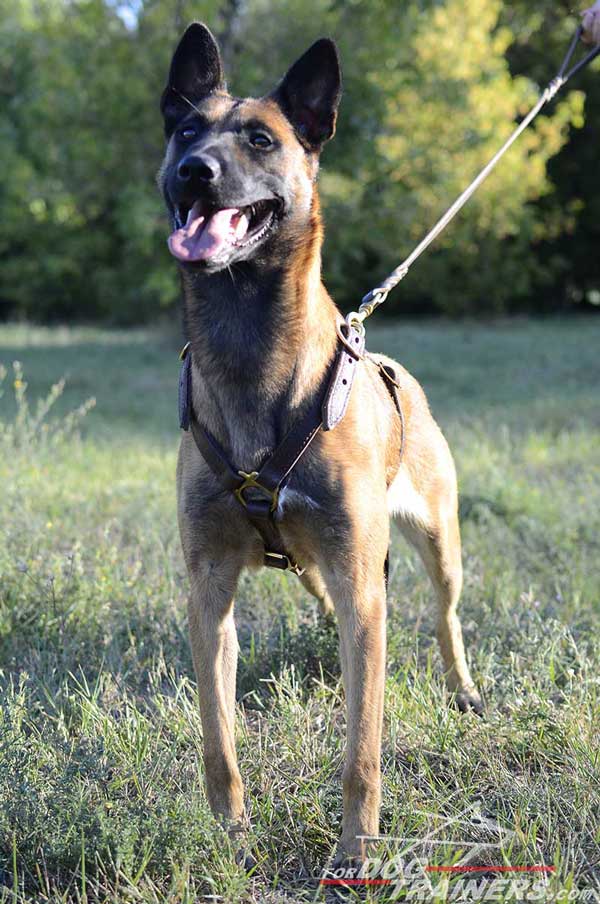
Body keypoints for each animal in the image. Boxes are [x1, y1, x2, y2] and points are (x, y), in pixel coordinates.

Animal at [159, 23, 482, 860]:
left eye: (260, 139)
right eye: (185, 130)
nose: (195, 171)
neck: (249, 346)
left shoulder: (361, 575)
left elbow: (362, 751)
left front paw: (356, 851)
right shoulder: (210, 590)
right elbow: (217, 738)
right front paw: (230, 836)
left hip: (437, 545)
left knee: (444, 619)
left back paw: (464, 689)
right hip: (322, 570)